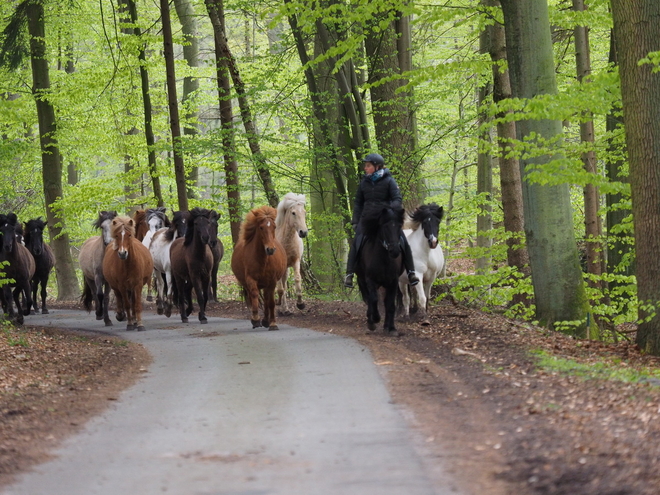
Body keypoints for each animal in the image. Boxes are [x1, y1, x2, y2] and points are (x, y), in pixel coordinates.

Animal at [354, 205, 404, 338]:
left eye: (399, 226)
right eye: (385, 227)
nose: (395, 251)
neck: (384, 259)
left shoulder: (393, 281)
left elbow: (390, 304)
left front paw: (391, 328)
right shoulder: (370, 280)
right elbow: (373, 299)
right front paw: (375, 319)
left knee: (385, 302)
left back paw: (386, 326)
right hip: (363, 280)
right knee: (369, 298)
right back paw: (371, 320)